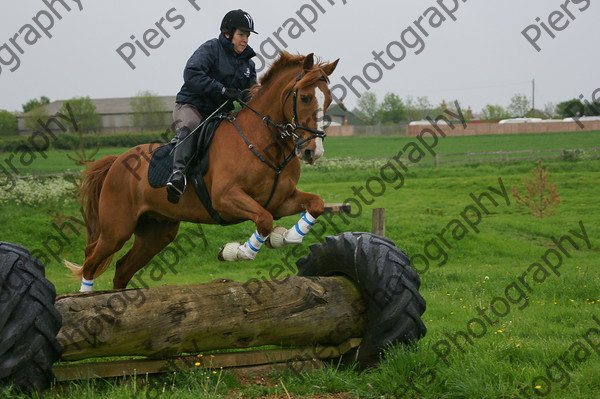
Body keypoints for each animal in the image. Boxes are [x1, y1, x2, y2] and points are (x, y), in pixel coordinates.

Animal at [66, 51, 340, 292]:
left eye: (328, 100)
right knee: (91, 260)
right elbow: (263, 220)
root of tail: (117, 161)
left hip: (156, 231)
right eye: (304, 97)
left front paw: (285, 237)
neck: (262, 142)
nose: (312, 151)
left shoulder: (279, 201)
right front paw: (236, 251)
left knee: (122, 269)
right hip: (117, 229)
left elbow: (315, 204)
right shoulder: (226, 199)